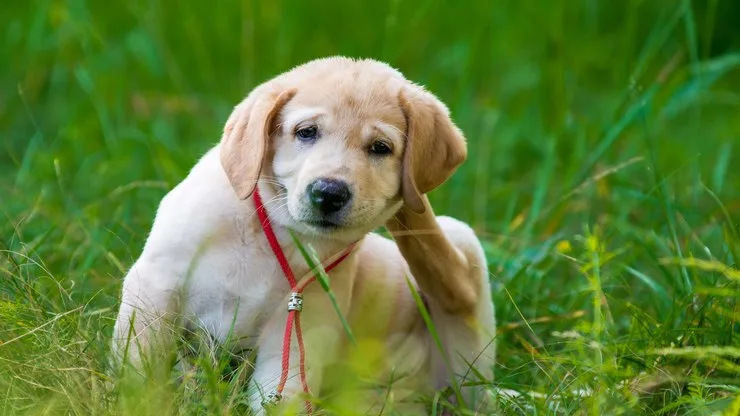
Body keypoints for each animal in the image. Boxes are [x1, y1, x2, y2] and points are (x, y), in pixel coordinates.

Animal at [112, 57, 498, 414]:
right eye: (306, 132)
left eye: (380, 147)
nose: (329, 193)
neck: (274, 231)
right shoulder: (157, 285)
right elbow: (141, 365)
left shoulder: (299, 332)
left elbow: (281, 397)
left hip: (462, 301)